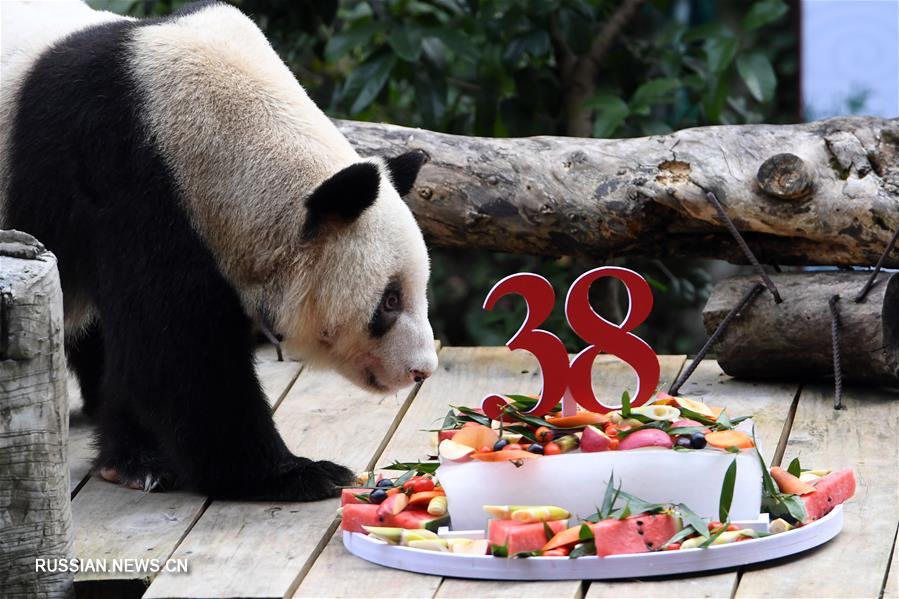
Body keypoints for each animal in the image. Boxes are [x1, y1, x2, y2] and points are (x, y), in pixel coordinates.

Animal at [0, 1, 442, 502]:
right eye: (389, 300)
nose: (421, 370)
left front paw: (132, 457)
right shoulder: (130, 183)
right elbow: (177, 354)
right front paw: (295, 473)